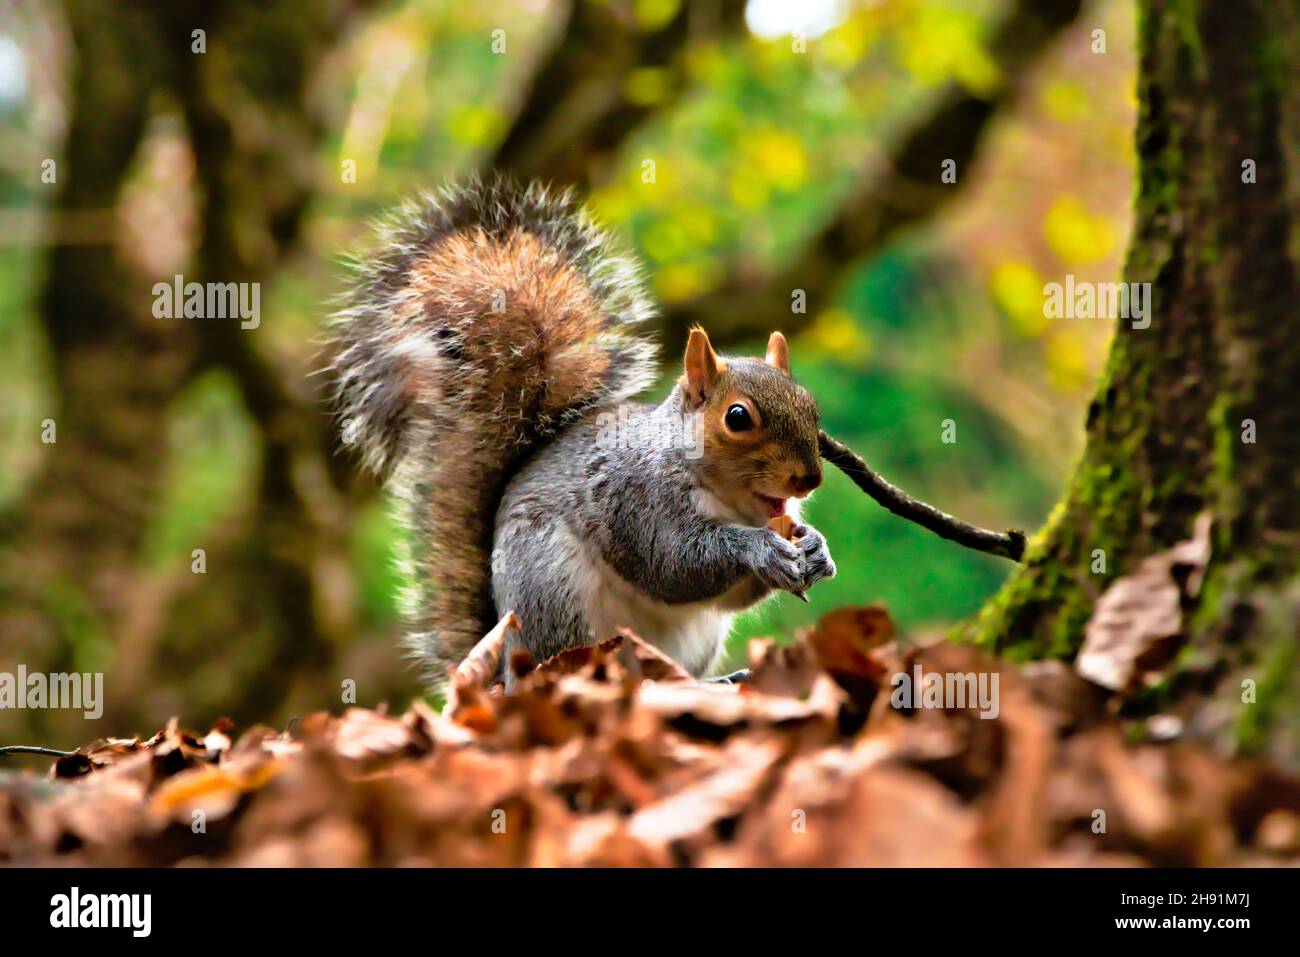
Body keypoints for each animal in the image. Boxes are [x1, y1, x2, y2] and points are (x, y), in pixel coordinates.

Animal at [325, 175, 832, 686]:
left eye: (811, 407)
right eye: (737, 418)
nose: (809, 479)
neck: (727, 498)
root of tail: (503, 666)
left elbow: (729, 592)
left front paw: (815, 548)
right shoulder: (635, 498)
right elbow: (672, 563)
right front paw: (760, 549)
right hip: (551, 588)